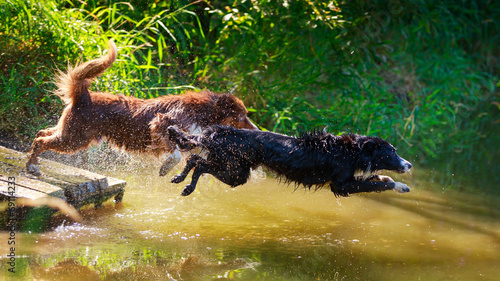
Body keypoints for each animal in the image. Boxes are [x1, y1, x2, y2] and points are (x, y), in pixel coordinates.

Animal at [26, 40, 258, 174]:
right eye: (241, 116)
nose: (258, 130)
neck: (204, 112)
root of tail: (84, 94)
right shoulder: (161, 124)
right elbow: (174, 154)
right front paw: (165, 168)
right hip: (75, 138)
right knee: (41, 140)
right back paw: (32, 166)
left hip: (70, 131)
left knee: (42, 132)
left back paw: (32, 161)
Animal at [166, 124, 412, 195]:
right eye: (392, 152)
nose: (409, 164)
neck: (353, 151)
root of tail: (218, 132)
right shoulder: (341, 185)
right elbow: (378, 184)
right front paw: (400, 186)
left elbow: (376, 178)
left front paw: (391, 180)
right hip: (235, 172)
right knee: (198, 162)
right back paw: (186, 184)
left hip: (232, 168)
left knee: (195, 160)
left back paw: (181, 180)